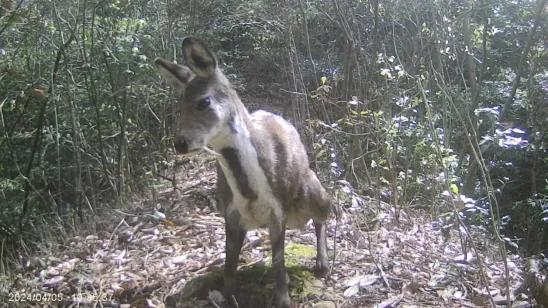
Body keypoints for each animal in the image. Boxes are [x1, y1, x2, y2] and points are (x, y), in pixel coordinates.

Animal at [154, 37, 332, 306]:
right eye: (179, 108)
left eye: (204, 101)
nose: (180, 143)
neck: (250, 190)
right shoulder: (230, 212)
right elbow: (229, 265)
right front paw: (227, 298)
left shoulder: (277, 208)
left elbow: (278, 261)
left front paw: (282, 300)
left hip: (311, 191)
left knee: (327, 211)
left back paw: (322, 265)